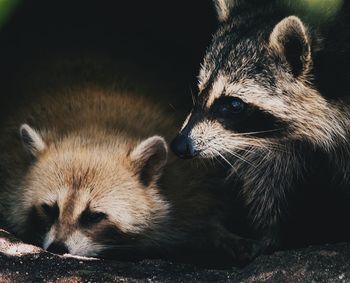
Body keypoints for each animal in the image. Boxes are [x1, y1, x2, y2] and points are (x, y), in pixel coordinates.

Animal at [171, 0, 350, 255]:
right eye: (200, 91)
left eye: (234, 104)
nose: (179, 145)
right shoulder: (274, 148)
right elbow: (267, 186)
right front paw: (267, 237)